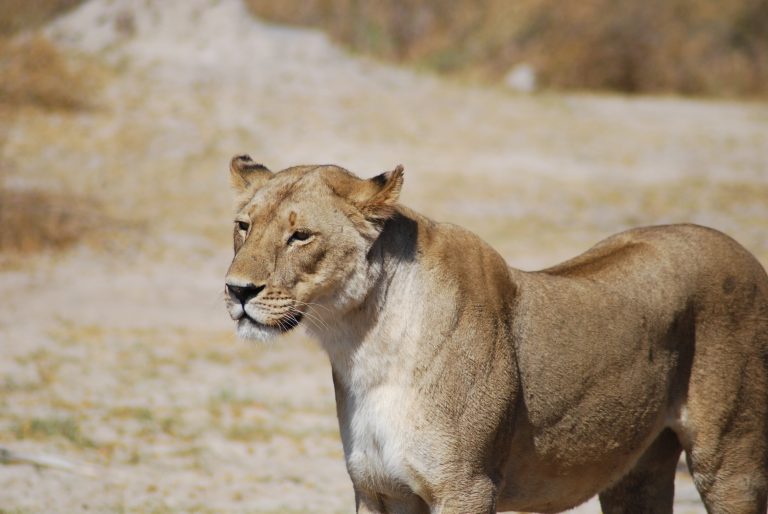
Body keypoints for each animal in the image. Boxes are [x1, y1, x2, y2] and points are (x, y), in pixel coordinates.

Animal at [224, 155, 768, 514]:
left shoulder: (465, 486)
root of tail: (744, 253)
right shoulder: (378, 488)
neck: (363, 344)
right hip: (636, 472)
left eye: (300, 236)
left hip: (730, 463)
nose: (237, 290)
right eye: (243, 226)